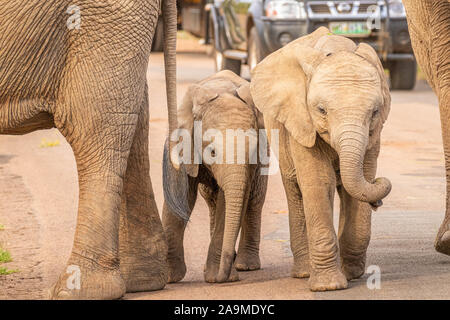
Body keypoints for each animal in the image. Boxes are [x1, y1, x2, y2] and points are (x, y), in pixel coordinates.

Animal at [162, 70, 268, 282]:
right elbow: (181, 194)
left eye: (252, 152)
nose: (224, 276)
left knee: (254, 201)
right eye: (212, 152)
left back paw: (245, 266)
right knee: (211, 200)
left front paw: (215, 278)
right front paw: (169, 278)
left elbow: (227, 204)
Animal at [251, 27, 392, 292]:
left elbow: (359, 184)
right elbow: (318, 183)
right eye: (321, 110)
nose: (378, 201)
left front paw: (352, 274)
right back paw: (304, 273)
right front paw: (329, 286)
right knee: (296, 191)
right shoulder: (300, 119)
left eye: (375, 112)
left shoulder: (374, 134)